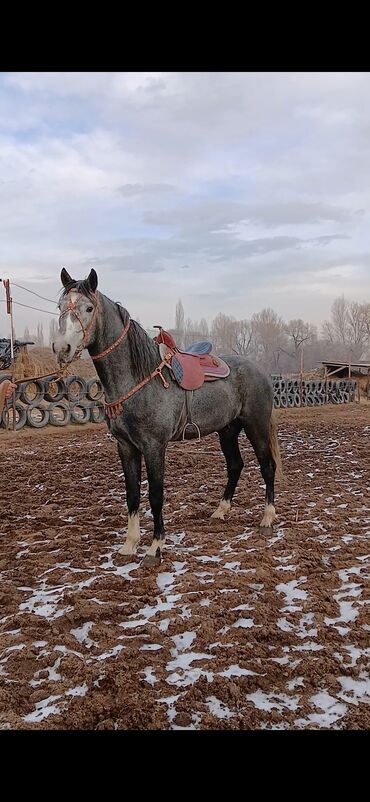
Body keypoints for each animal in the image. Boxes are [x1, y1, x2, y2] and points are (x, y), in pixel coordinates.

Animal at [53, 266, 282, 564]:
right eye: (60, 307)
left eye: (89, 308)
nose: (62, 348)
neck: (138, 379)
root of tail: (261, 370)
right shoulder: (125, 446)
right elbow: (132, 494)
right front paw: (129, 544)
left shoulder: (154, 446)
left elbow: (155, 495)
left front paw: (155, 547)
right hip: (228, 429)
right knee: (235, 465)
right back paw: (220, 511)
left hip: (256, 425)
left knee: (267, 466)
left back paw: (267, 518)